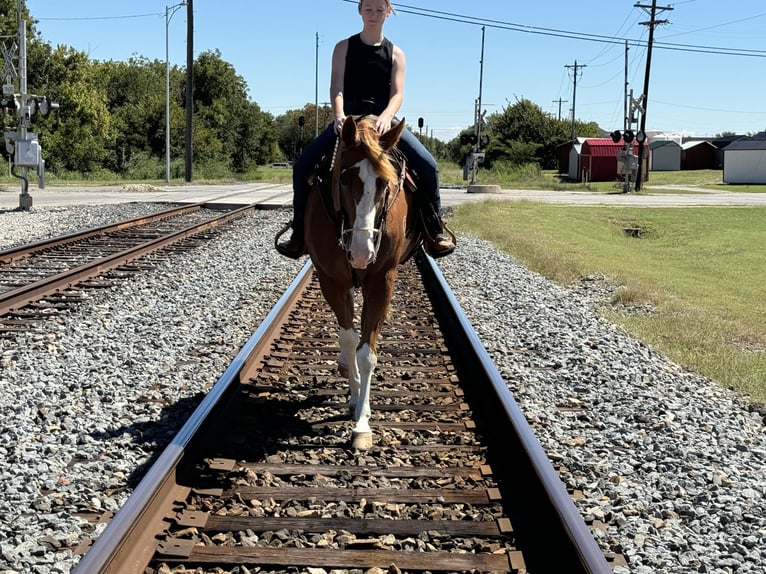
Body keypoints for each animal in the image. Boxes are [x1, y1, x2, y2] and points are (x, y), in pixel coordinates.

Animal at [304, 115, 420, 452]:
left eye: (386, 183)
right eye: (344, 178)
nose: (361, 251)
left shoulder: (381, 281)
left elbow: (367, 352)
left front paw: (362, 424)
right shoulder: (332, 279)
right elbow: (347, 338)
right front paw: (355, 398)